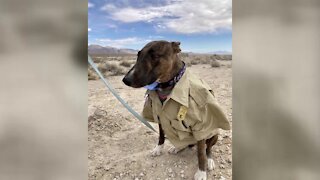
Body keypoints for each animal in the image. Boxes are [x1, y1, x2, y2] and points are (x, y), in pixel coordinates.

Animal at [122, 40, 218, 180]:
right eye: (138, 55)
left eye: (155, 56)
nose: (126, 80)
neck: (166, 85)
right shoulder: (160, 117)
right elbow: (161, 136)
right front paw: (158, 149)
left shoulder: (200, 126)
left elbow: (201, 153)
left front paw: (201, 172)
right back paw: (177, 148)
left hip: (214, 133)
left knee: (208, 148)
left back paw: (209, 160)